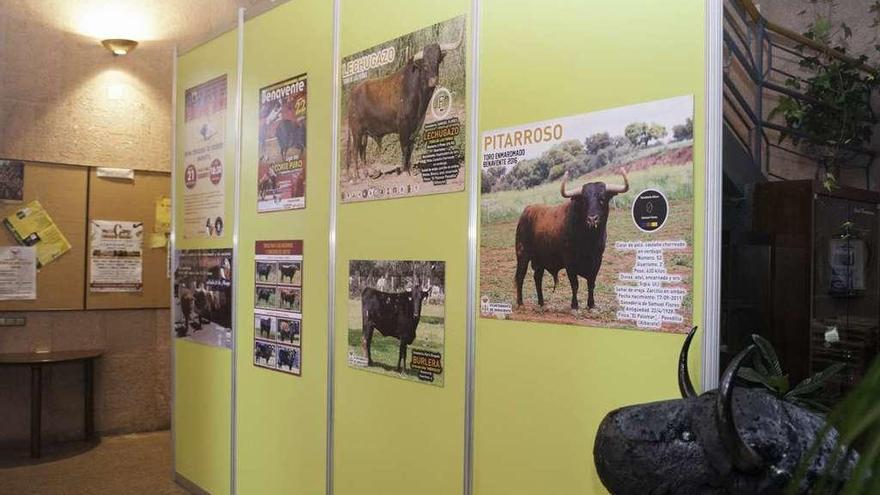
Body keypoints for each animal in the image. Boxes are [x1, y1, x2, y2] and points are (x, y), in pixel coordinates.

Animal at [348, 31, 464, 179]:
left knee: (362, 150)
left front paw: (409, 169)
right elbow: (404, 146)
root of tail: (354, 91)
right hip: (356, 129)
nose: (433, 81)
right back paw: (356, 176)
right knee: (355, 150)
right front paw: (404, 171)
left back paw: (367, 173)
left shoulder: (417, 125)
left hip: (364, 132)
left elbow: (410, 147)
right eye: (424, 64)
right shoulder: (403, 124)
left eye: (438, 61)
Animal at [512, 170, 628, 310]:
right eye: (584, 200)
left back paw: (541, 302)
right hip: (522, 254)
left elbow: (591, 283)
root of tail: (527, 210)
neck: (589, 241)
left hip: (539, 260)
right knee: (520, 277)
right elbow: (575, 284)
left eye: (602, 199)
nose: (592, 219)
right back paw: (520, 303)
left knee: (537, 278)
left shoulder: (597, 261)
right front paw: (574, 305)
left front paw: (591, 304)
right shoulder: (569, 262)